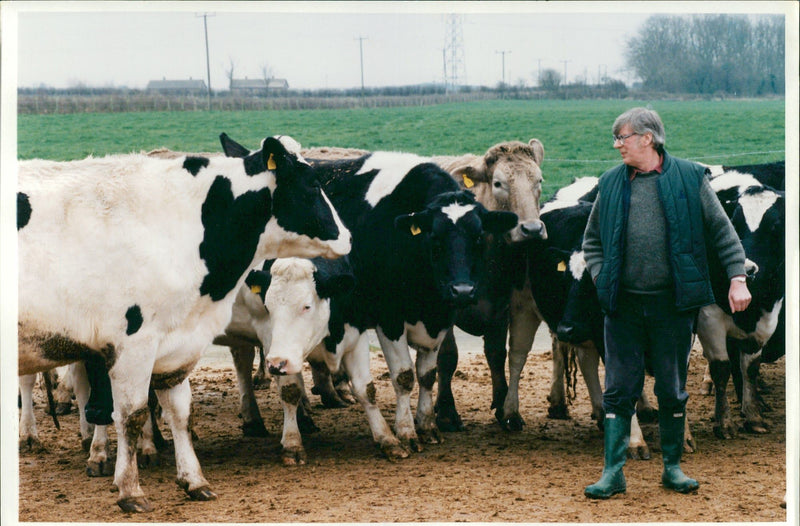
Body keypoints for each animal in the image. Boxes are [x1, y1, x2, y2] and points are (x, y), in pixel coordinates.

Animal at [17, 134, 350, 512]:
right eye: (312, 184)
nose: (349, 237)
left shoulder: (175, 346)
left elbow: (179, 412)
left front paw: (194, 480)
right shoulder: (132, 345)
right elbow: (130, 415)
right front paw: (130, 490)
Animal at [220, 134, 520, 452]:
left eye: (478, 237)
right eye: (435, 238)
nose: (462, 290)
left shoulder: (439, 317)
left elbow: (428, 375)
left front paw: (427, 425)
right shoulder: (388, 317)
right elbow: (404, 376)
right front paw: (406, 432)